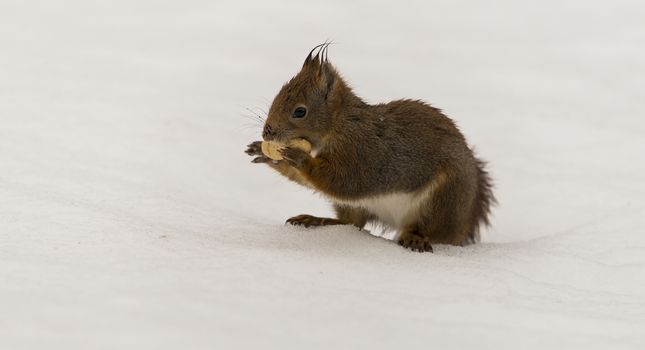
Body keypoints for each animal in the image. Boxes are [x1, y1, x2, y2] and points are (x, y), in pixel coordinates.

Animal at [245, 43, 494, 252]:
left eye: (300, 111)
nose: (267, 133)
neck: (338, 125)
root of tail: (463, 225)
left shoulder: (363, 153)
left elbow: (345, 181)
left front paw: (299, 158)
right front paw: (265, 154)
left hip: (441, 199)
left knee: (426, 228)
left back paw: (414, 238)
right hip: (355, 207)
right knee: (352, 222)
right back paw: (317, 220)